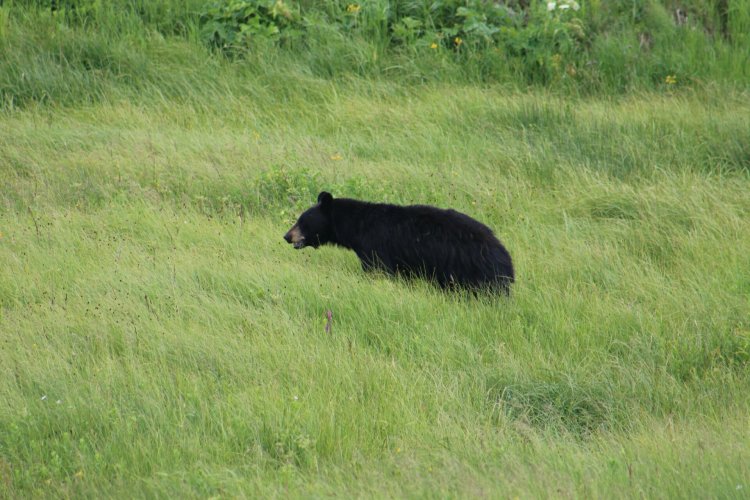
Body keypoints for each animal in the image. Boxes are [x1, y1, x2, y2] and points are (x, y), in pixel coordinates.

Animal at [284, 192, 515, 293]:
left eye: (302, 221)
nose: (287, 236)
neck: (357, 227)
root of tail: (505, 257)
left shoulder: (375, 247)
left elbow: (377, 271)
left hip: (472, 270)